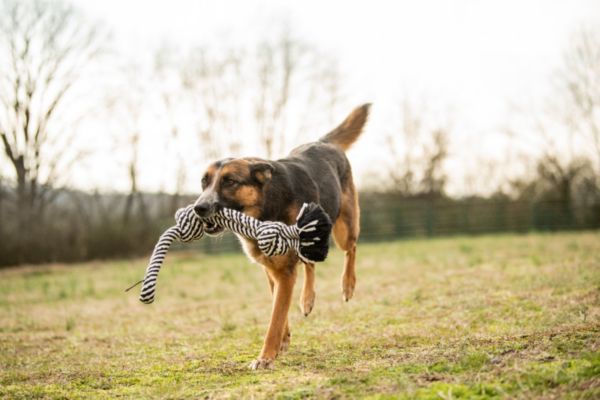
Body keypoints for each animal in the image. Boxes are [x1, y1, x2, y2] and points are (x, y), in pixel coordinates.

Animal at [192, 103, 370, 368]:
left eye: (230, 181)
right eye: (204, 182)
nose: (199, 208)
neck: (265, 207)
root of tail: (323, 142)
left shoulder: (284, 272)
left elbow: (275, 317)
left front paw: (265, 356)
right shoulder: (271, 270)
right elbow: (279, 305)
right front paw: (283, 341)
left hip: (344, 229)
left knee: (352, 248)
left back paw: (347, 285)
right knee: (310, 265)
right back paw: (307, 299)